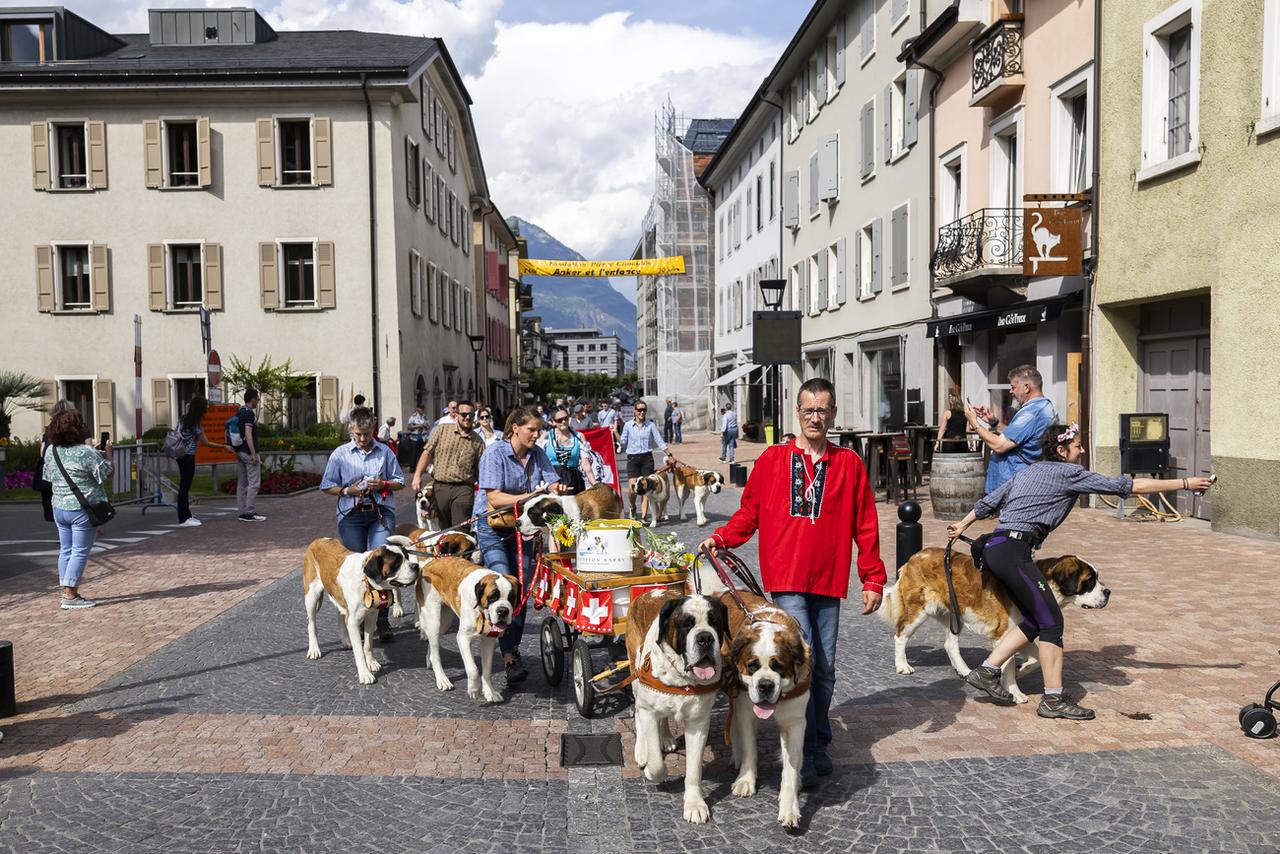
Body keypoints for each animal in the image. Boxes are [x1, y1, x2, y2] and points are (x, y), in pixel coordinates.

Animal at [303, 535, 419, 686]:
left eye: (407, 557)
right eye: (396, 563)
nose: (416, 566)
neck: (366, 581)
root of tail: (318, 540)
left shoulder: (371, 616)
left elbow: (368, 644)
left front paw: (371, 663)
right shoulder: (353, 622)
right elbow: (359, 650)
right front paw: (364, 674)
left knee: (340, 615)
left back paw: (346, 641)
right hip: (311, 596)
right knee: (311, 624)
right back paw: (314, 649)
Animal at [417, 558, 522, 706]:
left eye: (511, 597)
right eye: (492, 597)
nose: (503, 611)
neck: (481, 610)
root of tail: (429, 562)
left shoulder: (489, 640)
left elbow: (487, 670)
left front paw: (490, 692)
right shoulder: (463, 638)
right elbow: (473, 669)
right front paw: (474, 689)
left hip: (445, 622)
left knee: (433, 644)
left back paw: (429, 660)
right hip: (434, 619)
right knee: (435, 650)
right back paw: (442, 679)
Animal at [622, 591, 727, 824]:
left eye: (714, 622)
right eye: (687, 624)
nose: (705, 637)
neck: (682, 678)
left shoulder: (698, 722)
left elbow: (694, 769)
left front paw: (695, 804)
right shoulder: (649, 711)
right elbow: (656, 762)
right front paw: (652, 771)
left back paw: (667, 738)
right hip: (636, 673)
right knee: (639, 714)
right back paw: (641, 749)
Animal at [727, 591, 803, 824]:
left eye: (779, 667)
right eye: (752, 666)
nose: (766, 685)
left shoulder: (795, 722)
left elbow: (791, 765)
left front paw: (789, 806)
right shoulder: (745, 710)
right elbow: (750, 746)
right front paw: (746, 780)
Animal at [880, 550, 1111, 706]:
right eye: (1090, 581)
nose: (1108, 592)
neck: (1041, 588)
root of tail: (916, 556)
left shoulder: (1023, 632)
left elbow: (1035, 659)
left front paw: (1020, 670)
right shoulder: (1005, 634)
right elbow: (1008, 666)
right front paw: (1015, 691)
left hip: (955, 613)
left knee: (950, 644)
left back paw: (966, 671)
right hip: (919, 610)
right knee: (900, 636)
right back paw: (902, 665)